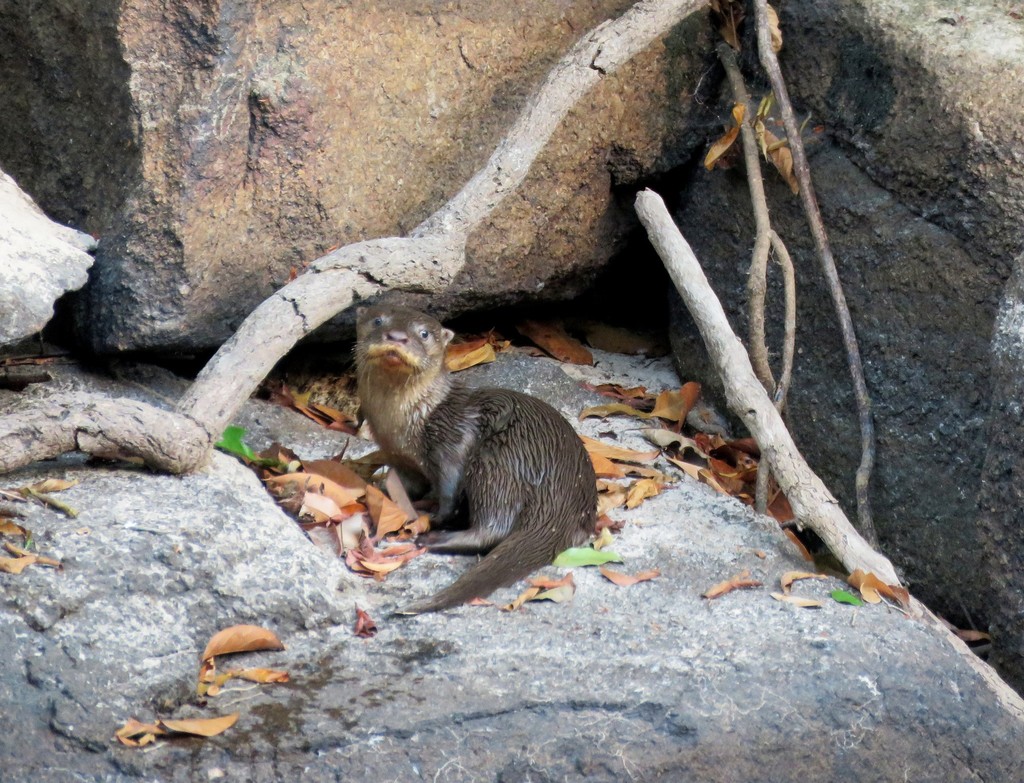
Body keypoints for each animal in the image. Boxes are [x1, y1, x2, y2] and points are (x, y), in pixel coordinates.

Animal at [355, 304, 597, 614]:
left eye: (424, 333)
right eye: (377, 320)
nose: (397, 337)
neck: (410, 423)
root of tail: (565, 494)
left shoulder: (453, 438)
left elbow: (449, 487)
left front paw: (435, 517)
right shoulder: (399, 458)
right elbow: (404, 484)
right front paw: (381, 494)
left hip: (498, 461)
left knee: (493, 526)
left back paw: (434, 538)